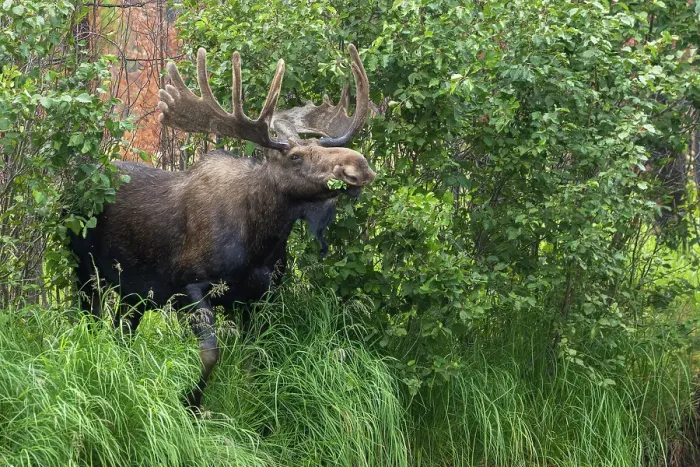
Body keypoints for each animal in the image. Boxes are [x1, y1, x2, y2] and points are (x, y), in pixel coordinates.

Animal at [70, 44, 375, 410]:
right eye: (295, 157)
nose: (360, 166)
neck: (259, 245)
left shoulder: (259, 297)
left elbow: (254, 359)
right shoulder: (190, 285)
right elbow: (210, 354)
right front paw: (190, 404)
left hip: (134, 292)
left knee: (121, 329)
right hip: (85, 270)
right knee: (90, 321)